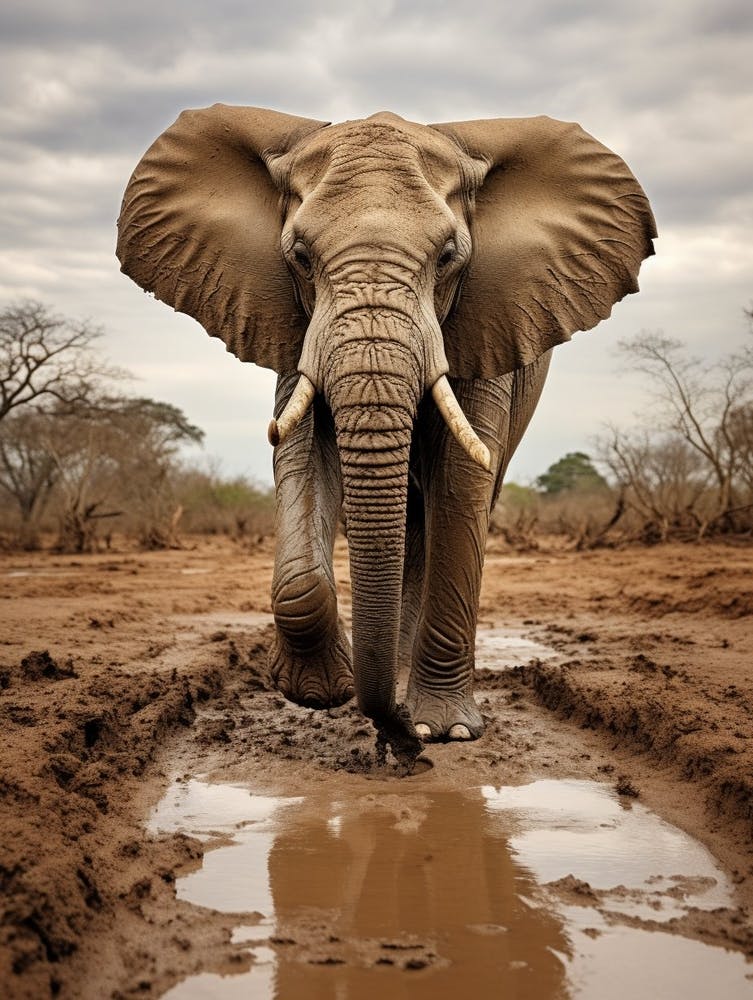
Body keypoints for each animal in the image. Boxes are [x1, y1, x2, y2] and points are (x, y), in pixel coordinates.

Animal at [117, 105, 655, 761]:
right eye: (299, 256)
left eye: (449, 256)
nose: (402, 741)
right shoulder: (295, 327)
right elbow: (303, 458)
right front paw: (320, 694)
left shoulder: (483, 328)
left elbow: (462, 482)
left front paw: (442, 731)